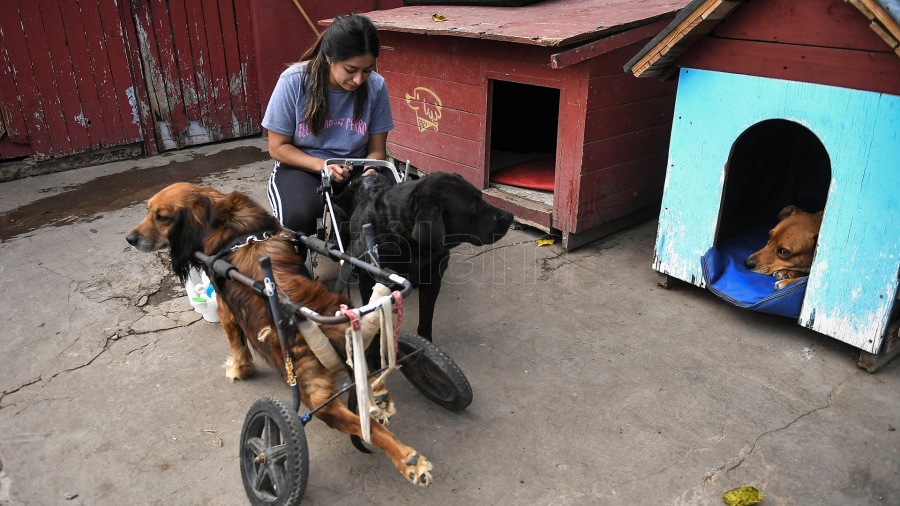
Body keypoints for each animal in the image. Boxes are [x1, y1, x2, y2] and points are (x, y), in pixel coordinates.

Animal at [126, 182, 432, 486]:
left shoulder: (226, 311)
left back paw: (408, 459)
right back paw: (381, 401)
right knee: (371, 382)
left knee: (351, 422)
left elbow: (236, 345)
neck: (223, 217)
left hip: (313, 393)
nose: (130, 239)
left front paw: (239, 369)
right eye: (148, 210)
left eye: (161, 217)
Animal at [342, 170, 512, 340]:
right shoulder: (368, 282)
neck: (411, 246)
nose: (510, 216)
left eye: (482, 197)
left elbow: (425, 319)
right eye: (474, 209)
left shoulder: (432, 280)